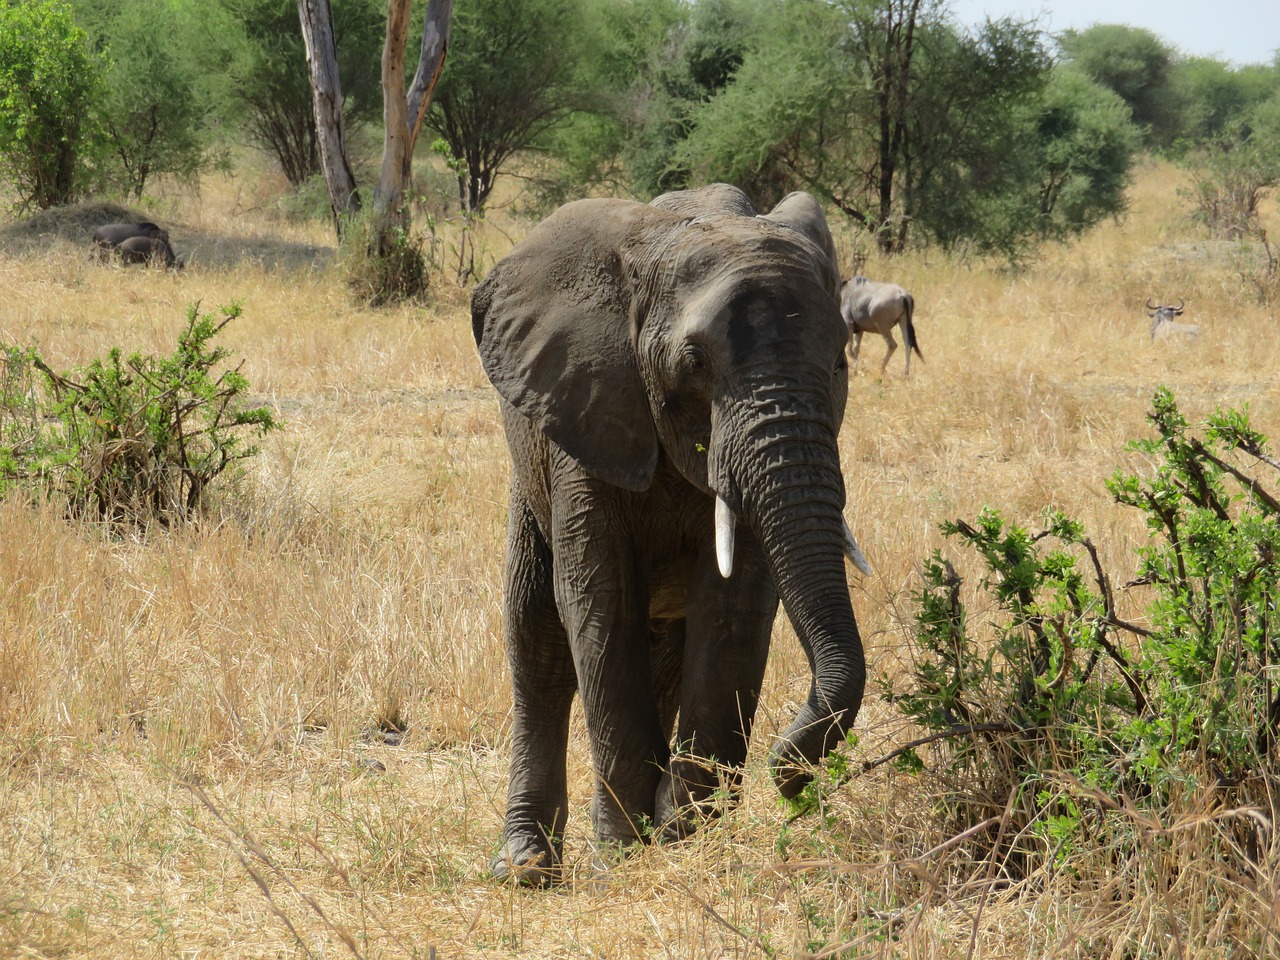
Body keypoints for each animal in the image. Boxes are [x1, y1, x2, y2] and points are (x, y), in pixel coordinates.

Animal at [471, 180, 870, 885]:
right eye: (694, 362)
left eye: (839, 363)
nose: (790, 776)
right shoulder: (587, 410)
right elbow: (600, 603)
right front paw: (624, 858)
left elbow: (733, 608)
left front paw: (682, 835)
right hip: (528, 474)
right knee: (537, 641)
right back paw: (525, 868)